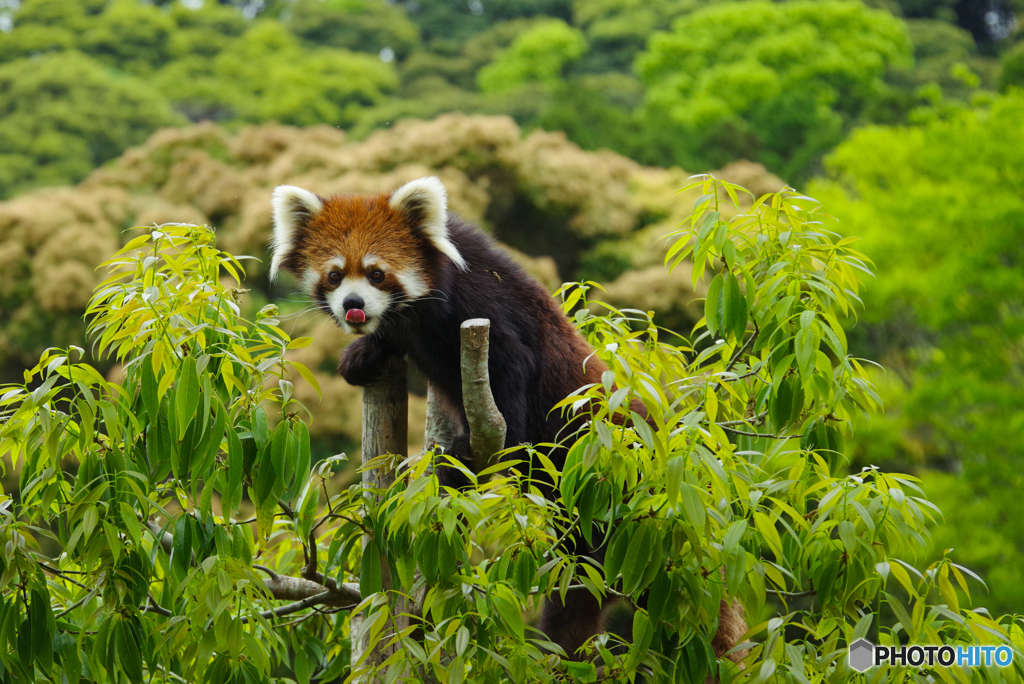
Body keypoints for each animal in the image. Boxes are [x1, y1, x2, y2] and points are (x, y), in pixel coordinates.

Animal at [268, 175, 741, 663]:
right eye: (335, 275)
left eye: (376, 272)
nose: (353, 304)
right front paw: (363, 354)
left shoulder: (485, 308)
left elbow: (511, 372)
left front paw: (470, 453)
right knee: (577, 593)